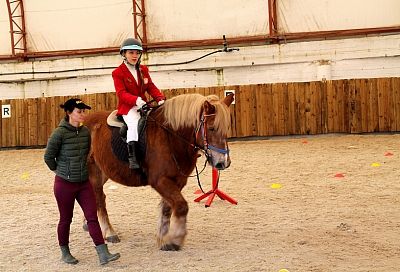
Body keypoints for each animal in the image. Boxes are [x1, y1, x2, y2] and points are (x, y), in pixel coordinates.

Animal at [84, 93, 234, 251]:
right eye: (211, 128)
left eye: (227, 127)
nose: (223, 162)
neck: (172, 137)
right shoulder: (160, 181)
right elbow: (181, 206)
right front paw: (175, 238)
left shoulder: (178, 181)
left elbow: (167, 209)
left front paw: (163, 238)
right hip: (93, 173)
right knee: (99, 200)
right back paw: (109, 232)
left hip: (103, 173)